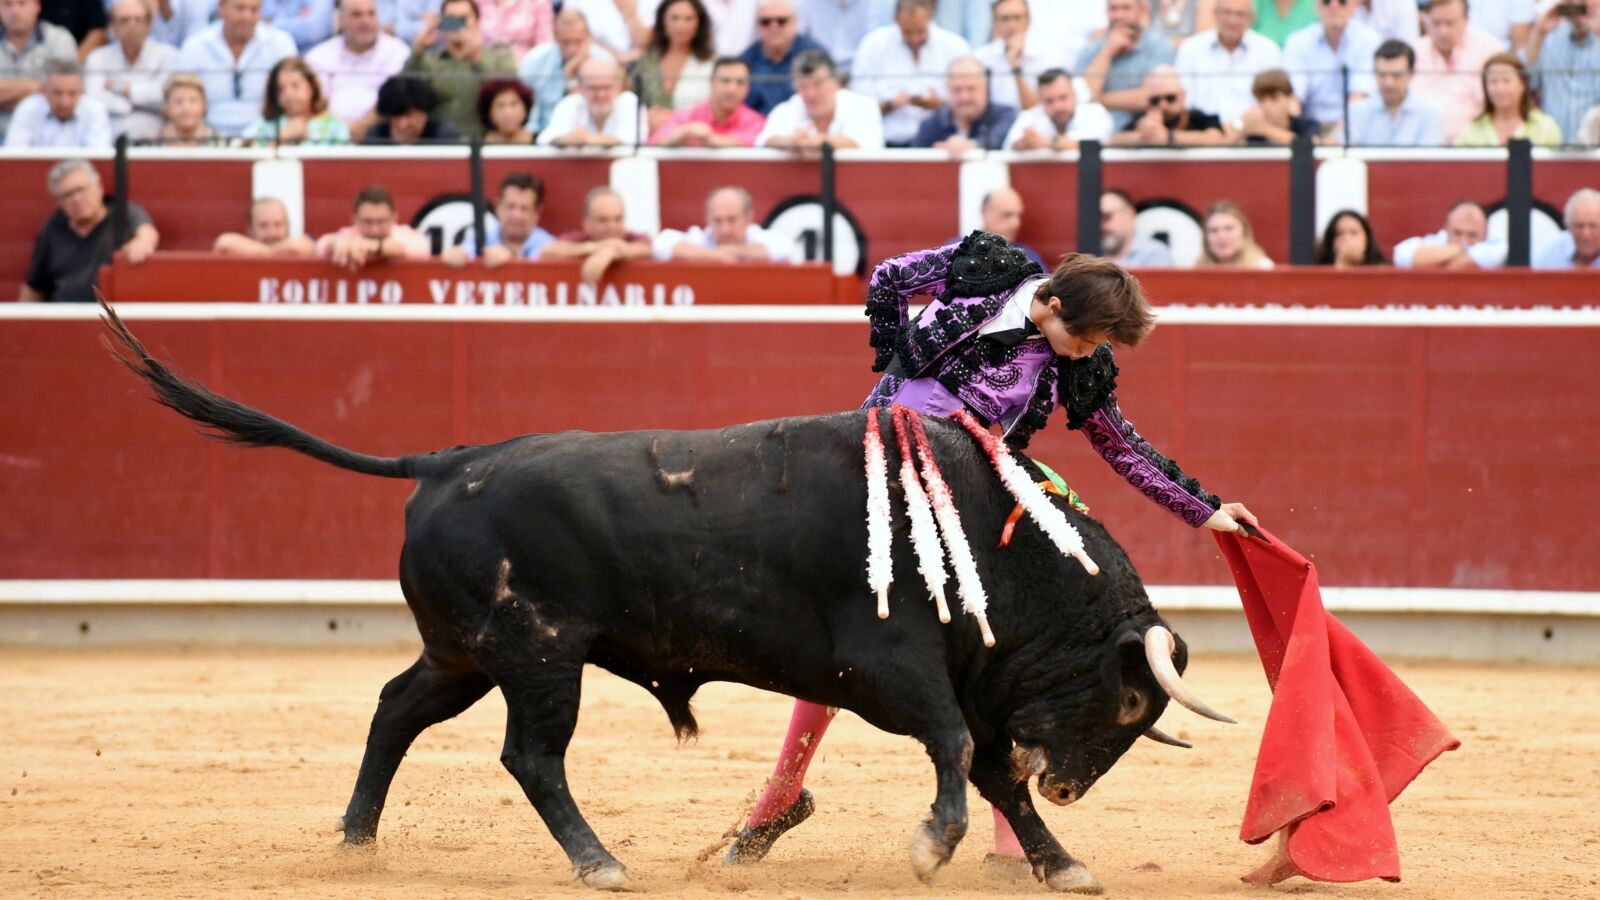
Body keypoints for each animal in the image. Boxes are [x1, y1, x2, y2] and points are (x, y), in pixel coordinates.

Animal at [101, 303, 1233, 894]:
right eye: (1132, 701)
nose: (1070, 787)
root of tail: (444, 460)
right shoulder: (896, 667)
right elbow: (958, 751)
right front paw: (933, 846)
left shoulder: (975, 686)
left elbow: (990, 768)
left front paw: (1059, 860)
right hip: (539, 657)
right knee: (530, 757)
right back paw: (598, 861)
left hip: (467, 654)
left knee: (396, 710)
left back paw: (355, 841)